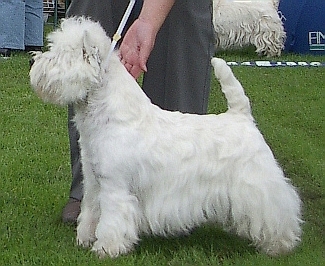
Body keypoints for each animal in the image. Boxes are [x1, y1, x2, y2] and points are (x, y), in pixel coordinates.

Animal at [30, 16, 302, 258]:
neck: (108, 114)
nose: (33, 62)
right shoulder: (95, 182)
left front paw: (107, 249)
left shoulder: (115, 186)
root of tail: (242, 116)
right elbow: (91, 212)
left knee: (278, 211)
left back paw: (279, 246)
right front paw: (85, 239)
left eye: (59, 54)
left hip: (256, 183)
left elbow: (113, 219)